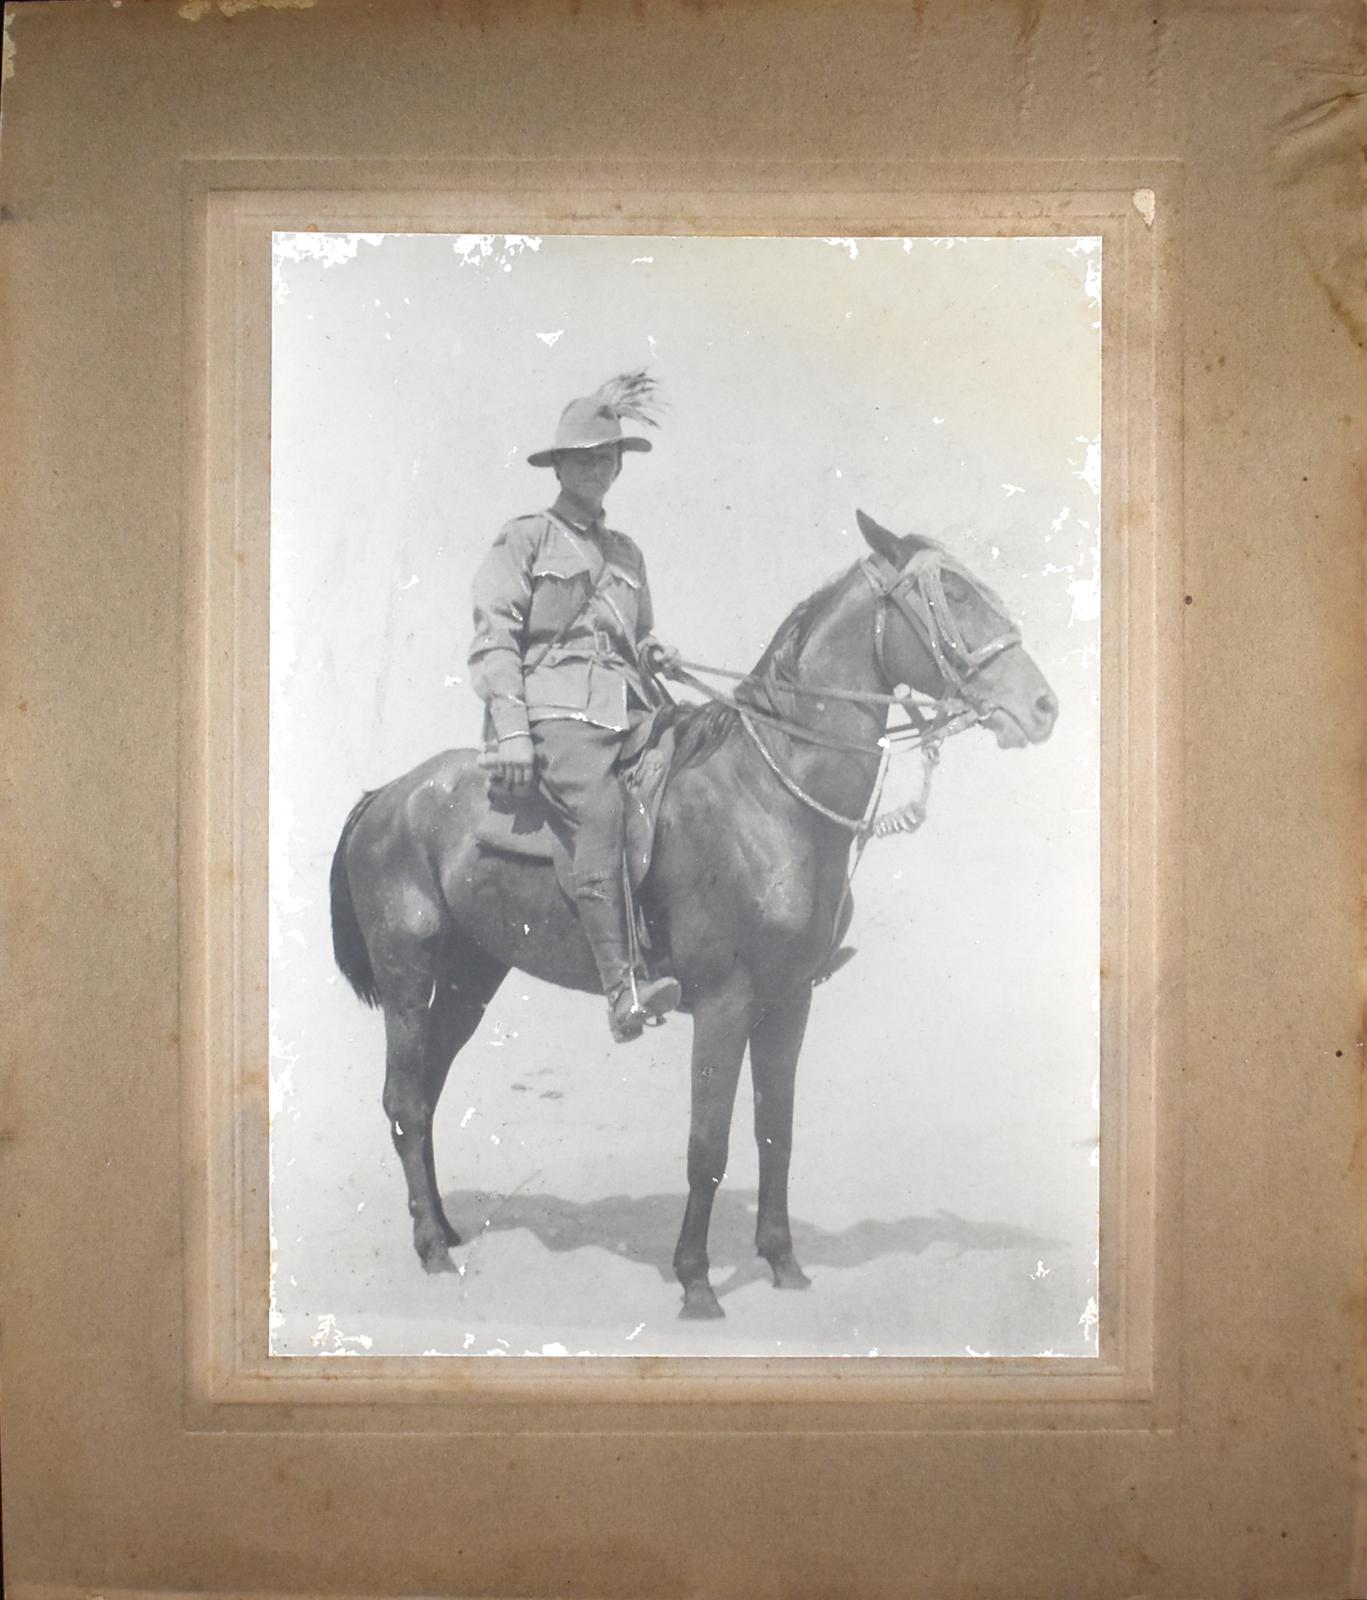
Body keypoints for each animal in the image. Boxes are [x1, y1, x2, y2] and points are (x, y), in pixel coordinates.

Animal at [329, 505, 1062, 1318]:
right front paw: (696, 1282)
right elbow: (707, 1145)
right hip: (407, 974)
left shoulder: (789, 1001)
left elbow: (776, 1133)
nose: (1042, 707)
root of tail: (385, 796)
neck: (768, 796)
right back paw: (430, 1247)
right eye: (954, 593)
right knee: (405, 1098)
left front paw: (783, 1263)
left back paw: (445, 1228)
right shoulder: (723, 1002)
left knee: (426, 1091)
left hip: (471, 979)